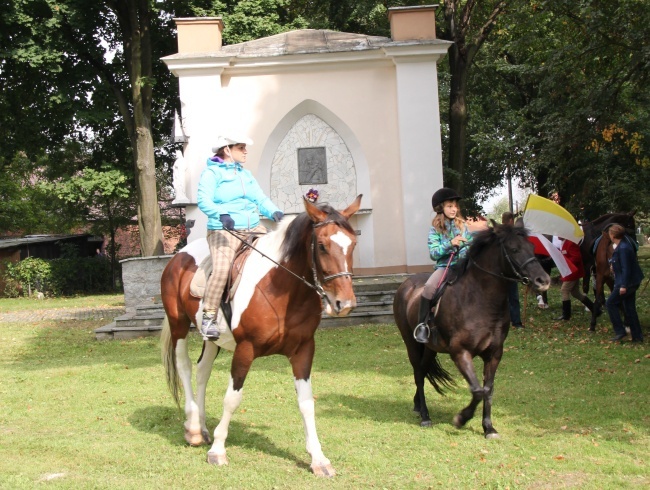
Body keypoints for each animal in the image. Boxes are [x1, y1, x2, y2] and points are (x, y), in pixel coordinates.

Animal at [157, 194, 360, 474]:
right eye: (321, 246)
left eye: (353, 243)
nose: (345, 303)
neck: (283, 290)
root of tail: (178, 257)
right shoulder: (245, 348)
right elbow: (232, 399)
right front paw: (218, 451)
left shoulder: (304, 350)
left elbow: (306, 402)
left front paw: (319, 459)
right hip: (178, 324)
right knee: (185, 367)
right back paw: (194, 429)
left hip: (212, 339)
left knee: (202, 371)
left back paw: (203, 426)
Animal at [392, 224, 548, 438]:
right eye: (514, 249)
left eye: (532, 248)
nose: (543, 280)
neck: (481, 300)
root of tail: (406, 285)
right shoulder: (460, 352)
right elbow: (477, 390)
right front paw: (462, 418)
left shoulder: (494, 354)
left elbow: (488, 390)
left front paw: (489, 428)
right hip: (411, 343)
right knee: (417, 372)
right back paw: (425, 415)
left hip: (430, 348)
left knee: (423, 371)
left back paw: (418, 406)